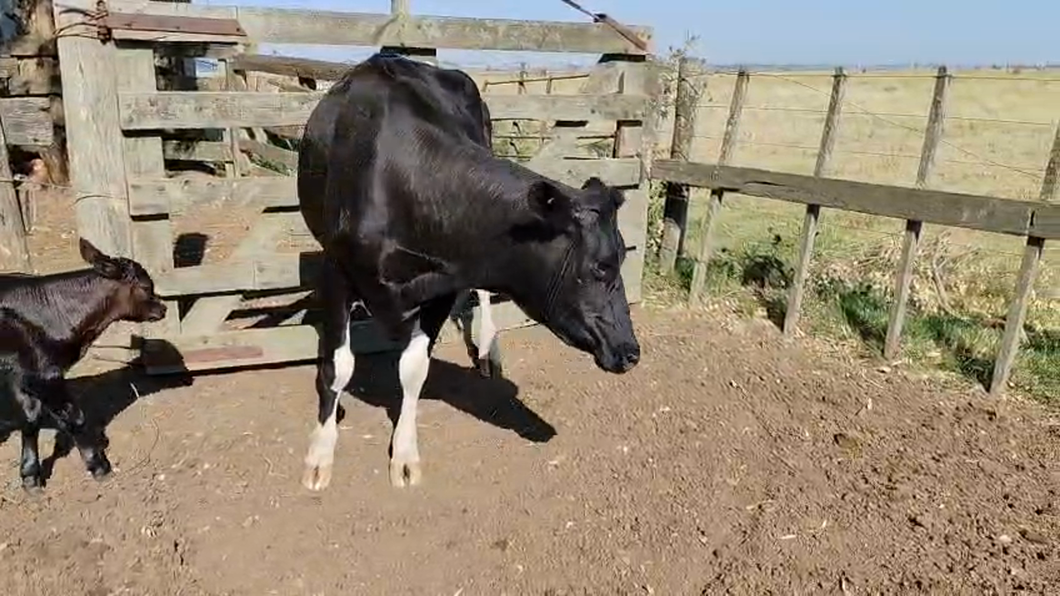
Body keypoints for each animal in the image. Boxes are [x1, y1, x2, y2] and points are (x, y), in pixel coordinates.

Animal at [0, 238, 167, 492]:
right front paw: (99, 466)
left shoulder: (25, 375)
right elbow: (75, 417)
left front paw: (30, 477)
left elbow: (30, 419)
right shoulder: (47, 374)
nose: (163, 308)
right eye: (147, 286)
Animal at [297, 52, 641, 492]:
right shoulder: (337, 268)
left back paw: (489, 349)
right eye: (602, 266)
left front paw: (405, 453)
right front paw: (320, 453)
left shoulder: (445, 280)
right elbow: (338, 367)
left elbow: (413, 370)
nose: (631, 351)